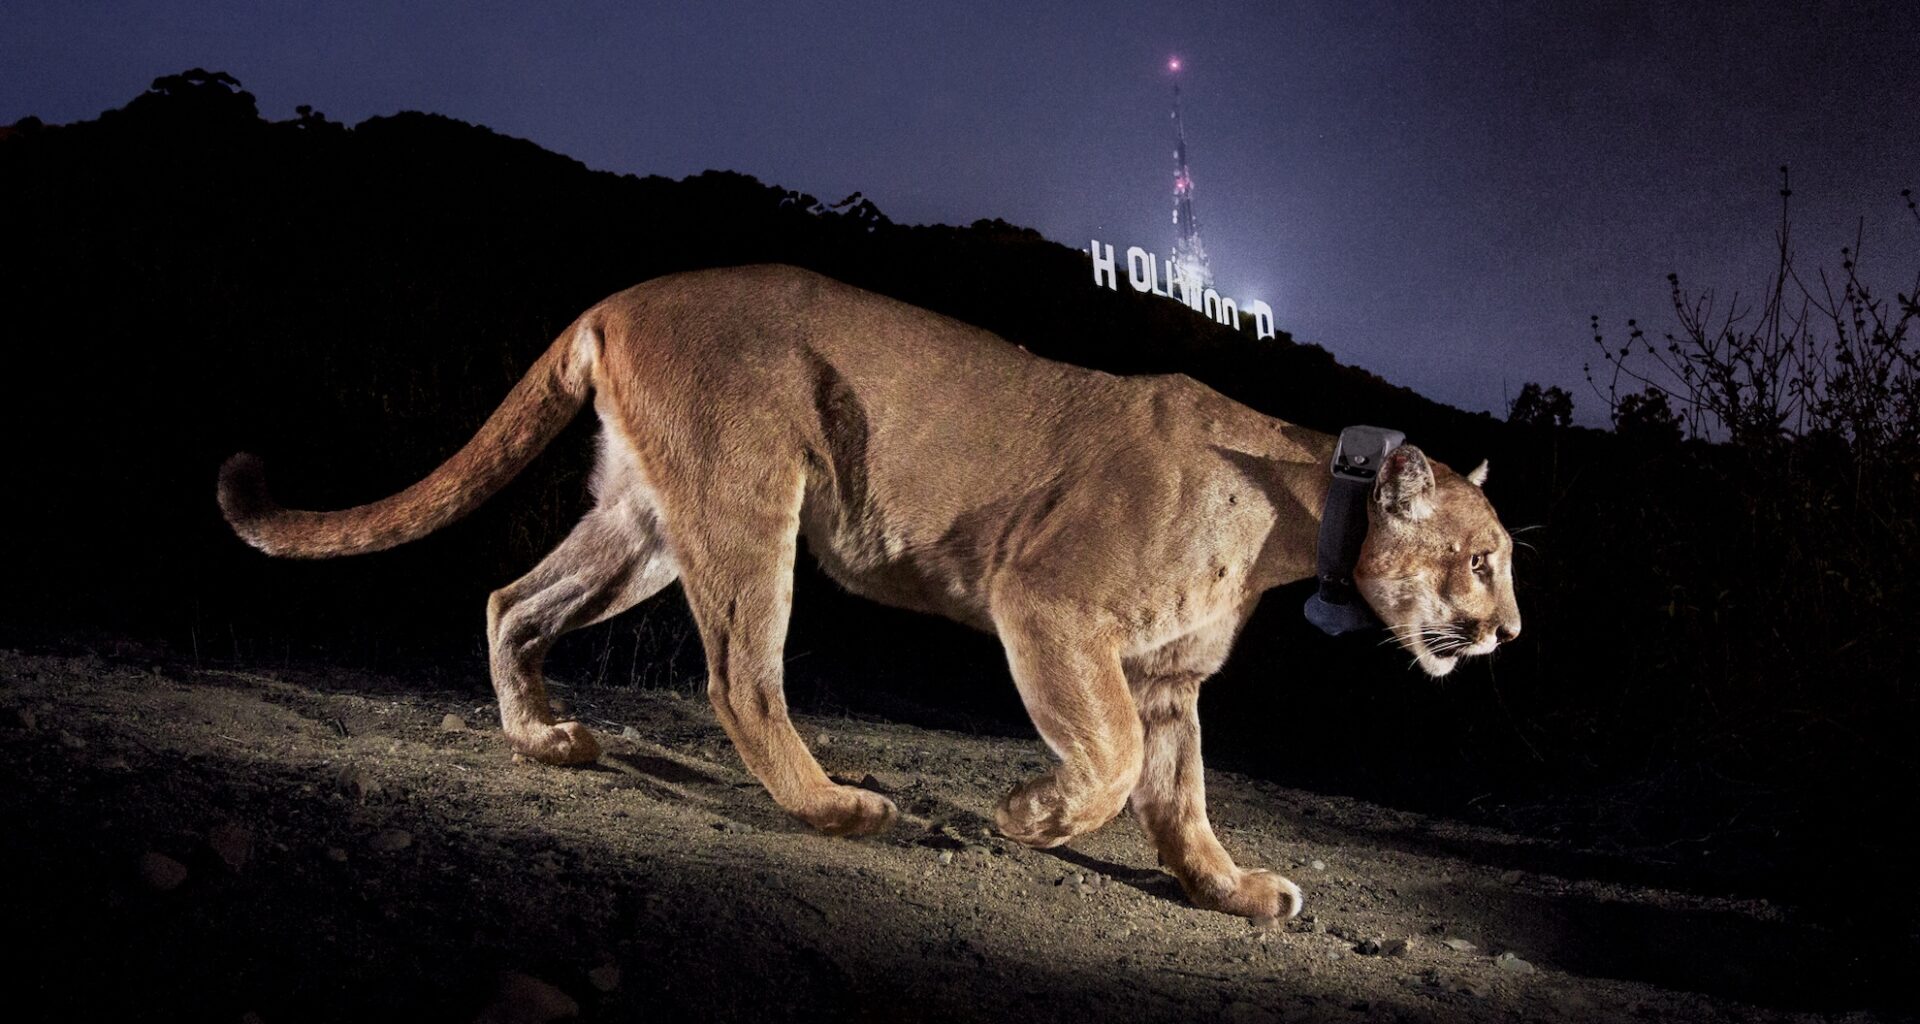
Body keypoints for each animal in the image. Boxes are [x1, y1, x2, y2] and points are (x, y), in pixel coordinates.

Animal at [218, 264, 1520, 919]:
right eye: (1484, 557)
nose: (1509, 629)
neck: (1300, 512)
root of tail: (622, 296)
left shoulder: (1167, 677)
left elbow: (1180, 799)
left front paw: (1233, 888)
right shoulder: (1048, 606)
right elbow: (1105, 766)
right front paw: (1026, 815)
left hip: (644, 524)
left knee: (511, 600)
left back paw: (544, 737)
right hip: (751, 499)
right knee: (740, 676)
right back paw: (839, 806)